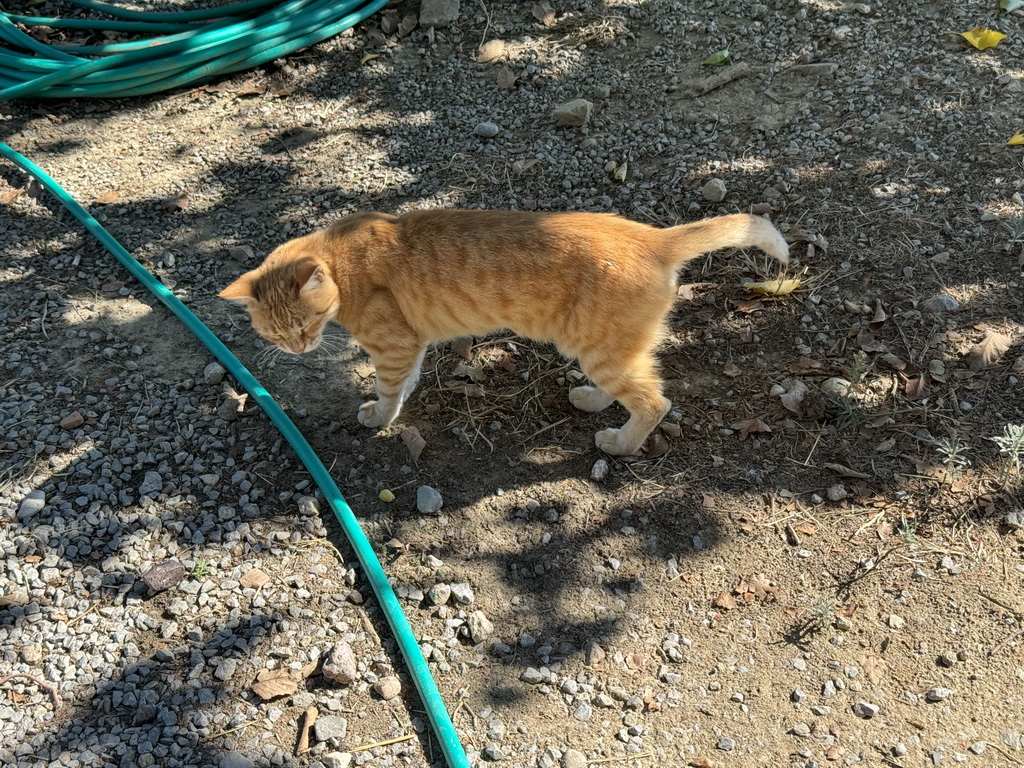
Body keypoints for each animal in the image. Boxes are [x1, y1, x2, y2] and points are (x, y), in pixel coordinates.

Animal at [220, 208, 786, 456]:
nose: (299, 348)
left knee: (654, 402)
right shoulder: (412, 345)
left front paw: (379, 416)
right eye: (276, 334)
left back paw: (619, 443)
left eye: (306, 323)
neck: (342, 258)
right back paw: (591, 401)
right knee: (630, 386)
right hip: (607, 350)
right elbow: (405, 383)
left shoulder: (394, 346)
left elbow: (386, 389)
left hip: (600, 350)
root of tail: (654, 239)